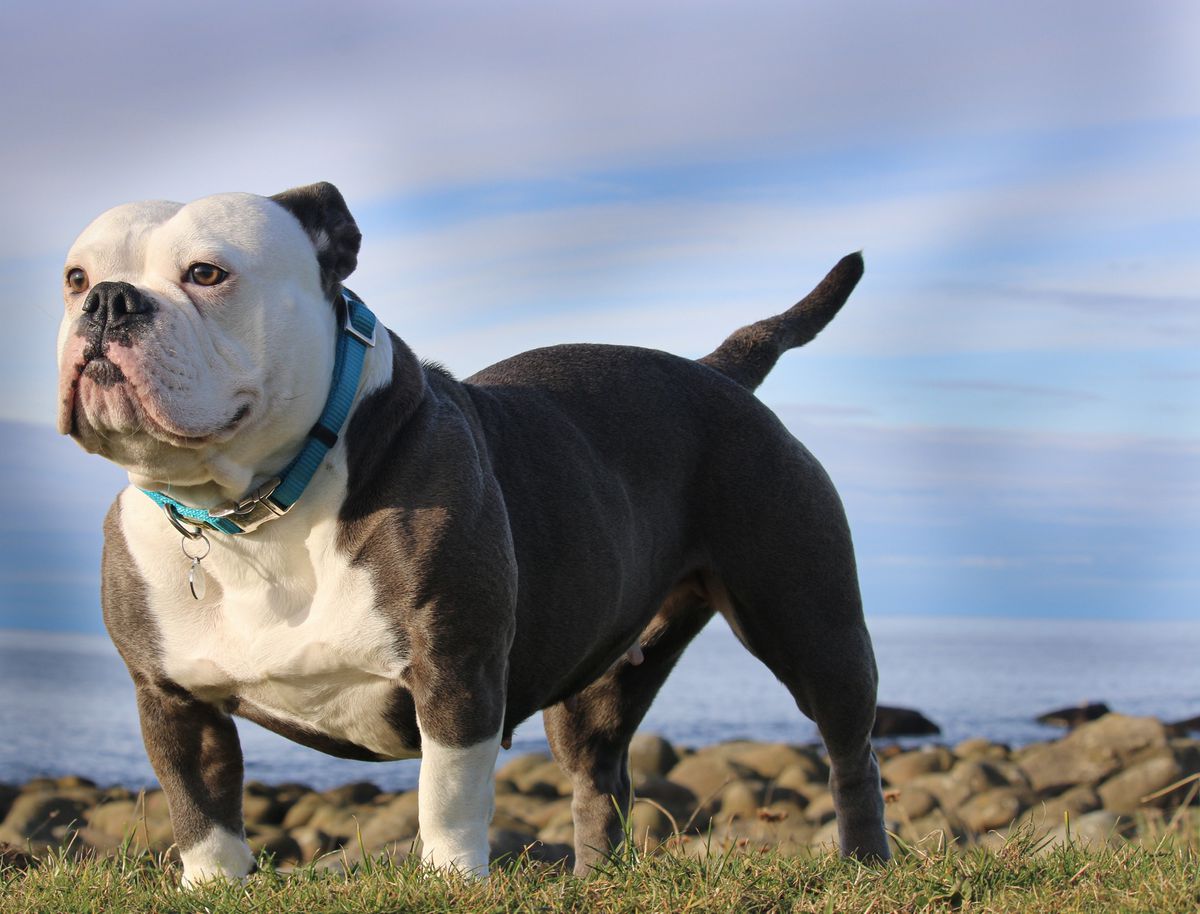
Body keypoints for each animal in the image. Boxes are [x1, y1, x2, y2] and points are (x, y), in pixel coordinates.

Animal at [58, 179, 892, 882]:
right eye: (74, 276)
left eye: (207, 274)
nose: (107, 301)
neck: (255, 514)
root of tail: (717, 369)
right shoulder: (170, 698)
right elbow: (201, 813)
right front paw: (213, 887)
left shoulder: (453, 669)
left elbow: (449, 794)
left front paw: (452, 880)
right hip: (601, 678)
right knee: (601, 773)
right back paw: (595, 879)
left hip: (812, 624)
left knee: (851, 750)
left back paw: (864, 861)